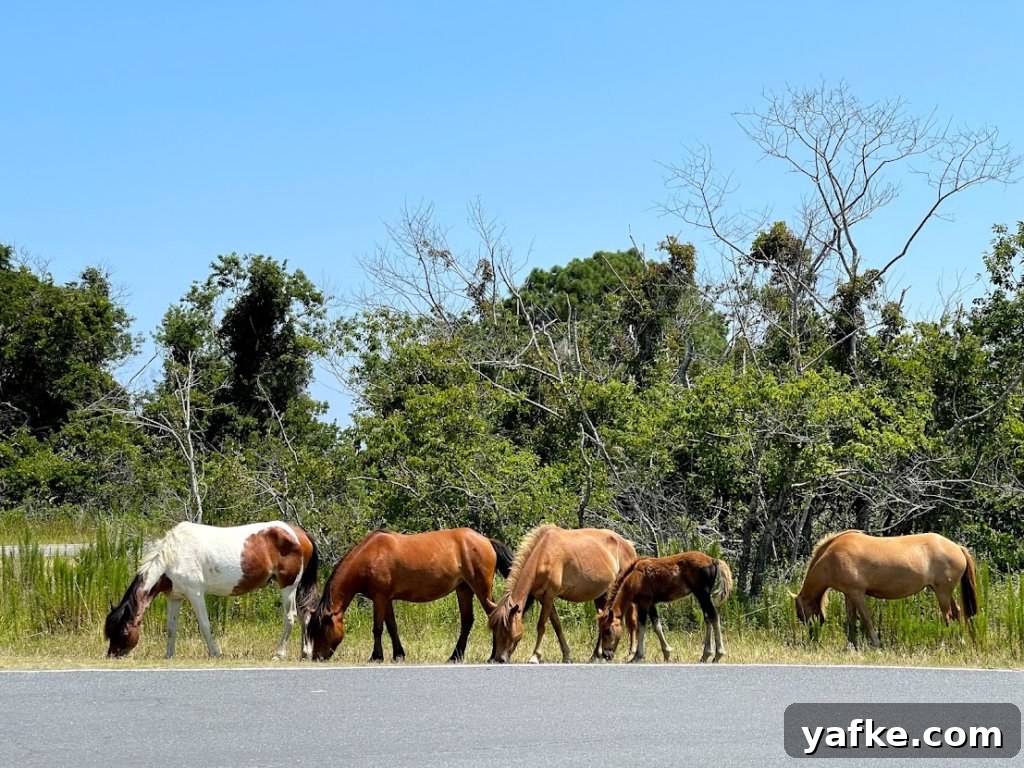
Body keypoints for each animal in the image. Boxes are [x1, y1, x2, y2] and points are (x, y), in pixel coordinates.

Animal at [104, 520, 319, 659]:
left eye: (123, 632)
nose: (112, 655)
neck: (173, 556)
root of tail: (299, 534)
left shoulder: (195, 594)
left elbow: (205, 625)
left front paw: (215, 653)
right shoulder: (175, 597)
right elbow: (171, 628)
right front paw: (169, 656)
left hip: (288, 586)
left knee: (290, 617)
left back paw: (279, 654)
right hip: (297, 587)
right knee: (305, 615)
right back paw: (305, 652)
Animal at [307, 528, 514, 662]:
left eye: (321, 630)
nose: (317, 657)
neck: (369, 556)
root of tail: (486, 540)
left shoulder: (379, 598)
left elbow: (378, 628)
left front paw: (376, 656)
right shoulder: (386, 599)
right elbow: (392, 627)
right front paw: (398, 655)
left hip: (480, 588)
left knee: (493, 615)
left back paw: (492, 656)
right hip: (464, 589)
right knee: (467, 621)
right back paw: (455, 656)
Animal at [488, 524, 637, 664]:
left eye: (507, 630)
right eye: (495, 630)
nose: (499, 659)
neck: (543, 554)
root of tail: (628, 545)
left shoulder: (549, 595)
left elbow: (541, 625)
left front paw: (535, 656)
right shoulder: (543, 597)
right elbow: (557, 625)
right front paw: (566, 655)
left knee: (631, 620)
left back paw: (631, 654)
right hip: (602, 594)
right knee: (603, 621)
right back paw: (595, 656)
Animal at [597, 551, 733, 663]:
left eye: (607, 630)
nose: (606, 655)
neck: (634, 577)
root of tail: (713, 560)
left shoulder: (644, 603)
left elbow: (642, 626)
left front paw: (637, 656)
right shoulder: (651, 604)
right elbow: (657, 626)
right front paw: (667, 653)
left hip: (702, 594)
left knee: (713, 616)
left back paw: (718, 655)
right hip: (701, 596)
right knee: (707, 618)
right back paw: (705, 655)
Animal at [791, 529, 979, 647]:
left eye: (800, 614)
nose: (813, 638)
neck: (832, 556)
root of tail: (957, 547)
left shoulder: (857, 593)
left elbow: (866, 619)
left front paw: (876, 642)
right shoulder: (848, 594)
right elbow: (851, 620)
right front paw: (851, 644)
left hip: (942, 592)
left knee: (948, 616)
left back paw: (943, 644)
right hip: (944, 592)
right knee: (957, 612)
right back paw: (960, 642)